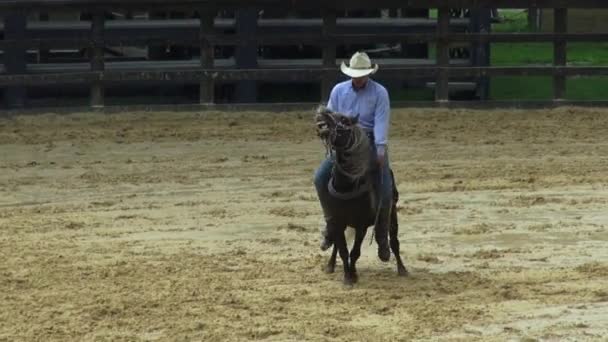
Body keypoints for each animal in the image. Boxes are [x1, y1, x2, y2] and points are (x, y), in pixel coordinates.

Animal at [314, 105, 408, 286]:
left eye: (344, 120)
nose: (322, 110)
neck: (346, 186)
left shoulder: (361, 226)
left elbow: (355, 252)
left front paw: (352, 275)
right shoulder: (337, 222)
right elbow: (343, 250)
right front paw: (348, 277)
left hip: (392, 212)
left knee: (394, 241)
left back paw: (401, 269)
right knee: (336, 245)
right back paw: (330, 265)